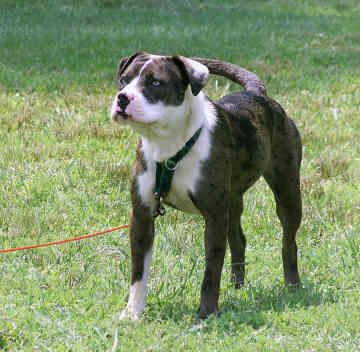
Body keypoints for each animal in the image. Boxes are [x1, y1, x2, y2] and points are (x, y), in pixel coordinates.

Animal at [109, 52, 300, 320]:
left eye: (156, 82)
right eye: (123, 80)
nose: (123, 97)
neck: (168, 145)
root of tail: (259, 95)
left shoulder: (214, 216)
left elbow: (211, 269)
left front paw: (206, 313)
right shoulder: (142, 216)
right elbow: (138, 272)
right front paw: (132, 313)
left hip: (287, 192)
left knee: (288, 240)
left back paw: (293, 285)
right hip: (233, 203)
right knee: (239, 239)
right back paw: (237, 287)